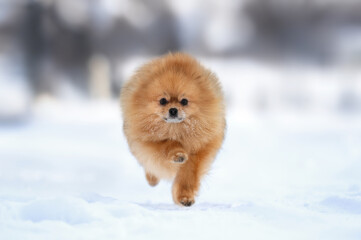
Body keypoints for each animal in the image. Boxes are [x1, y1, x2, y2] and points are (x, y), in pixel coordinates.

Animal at [119, 52, 224, 206]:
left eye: (184, 101)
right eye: (163, 101)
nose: (173, 110)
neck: (175, 130)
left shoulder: (200, 149)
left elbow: (188, 174)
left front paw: (184, 197)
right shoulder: (149, 142)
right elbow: (167, 144)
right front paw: (178, 153)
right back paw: (152, 179)